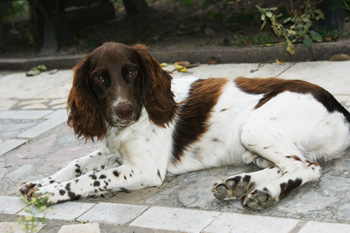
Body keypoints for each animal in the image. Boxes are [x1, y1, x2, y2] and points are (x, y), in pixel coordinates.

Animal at [19, 42, 350, 209]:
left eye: (132, 72)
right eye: (99, 77)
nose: (124, 111)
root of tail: (341, 109)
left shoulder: (144, 168)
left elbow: (90, 178)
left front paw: (51, 192)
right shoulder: (116, 151)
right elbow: (77, 163)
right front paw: (40, 182)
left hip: (254, 128)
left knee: (306, 167)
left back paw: (264, 193)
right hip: (256, 146)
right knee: (287, 164)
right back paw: (239, 183)